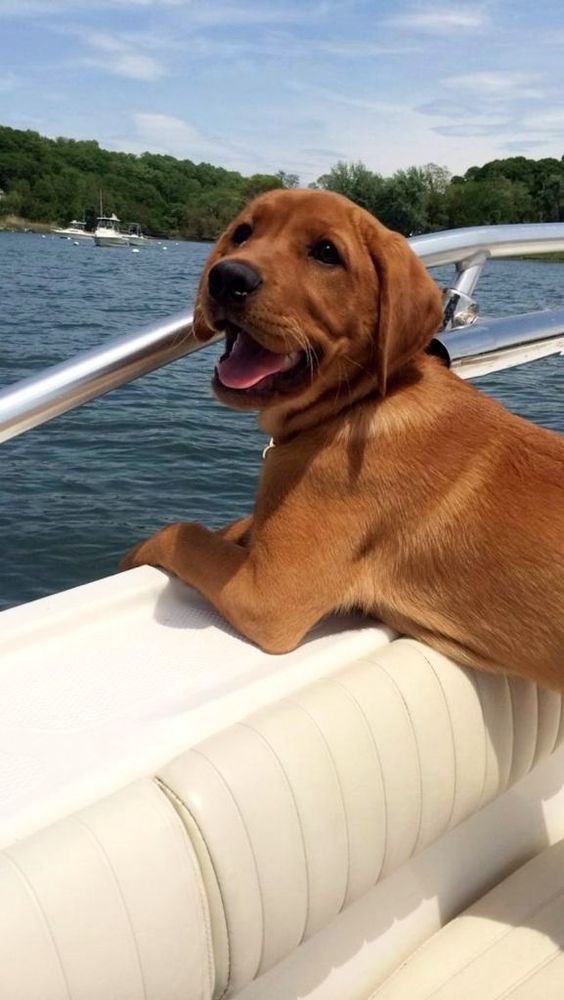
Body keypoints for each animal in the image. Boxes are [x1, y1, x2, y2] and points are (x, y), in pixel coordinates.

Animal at [122, 188, 564, 688]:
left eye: (326, 253)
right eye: (242, 233)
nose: (226, 277)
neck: (355, 404)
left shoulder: (270, 593)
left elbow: (184, 532)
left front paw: (134, 554)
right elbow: (237, 524)